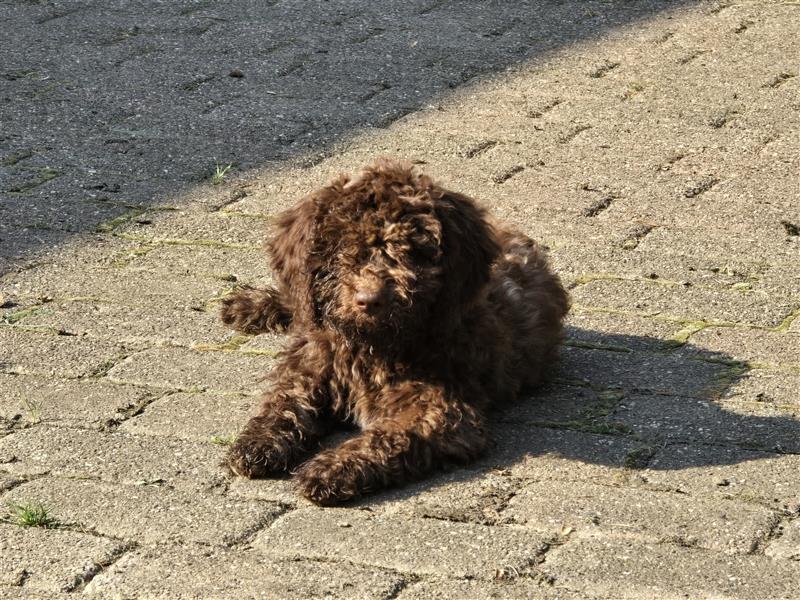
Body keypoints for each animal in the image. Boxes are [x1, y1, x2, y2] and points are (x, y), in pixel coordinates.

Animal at [219, 157, 568, 504]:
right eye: (345, 249)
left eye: (410, 252)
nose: (369, 299)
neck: (371, 345)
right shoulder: (312, 363)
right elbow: (286, 399)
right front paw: (257, 442)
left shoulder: (440, 411)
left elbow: (385, 437)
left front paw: (330, 469)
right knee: (298, 302)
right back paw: (250, 305)